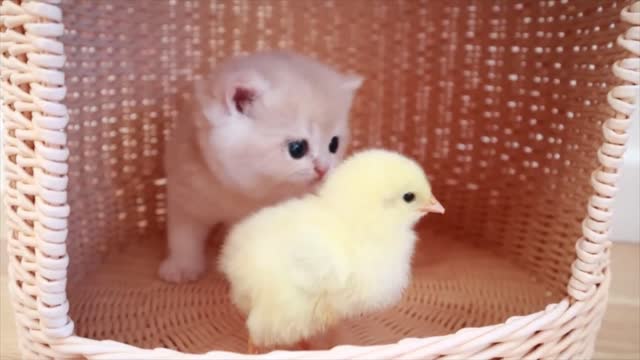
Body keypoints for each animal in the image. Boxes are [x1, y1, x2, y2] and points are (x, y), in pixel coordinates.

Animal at [158, 50, 362, 282]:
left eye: (334, 144)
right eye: (297, 148)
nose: (323, 169)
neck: (243, 194)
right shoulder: (186, 191)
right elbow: (183, 236)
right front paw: (181, 267)